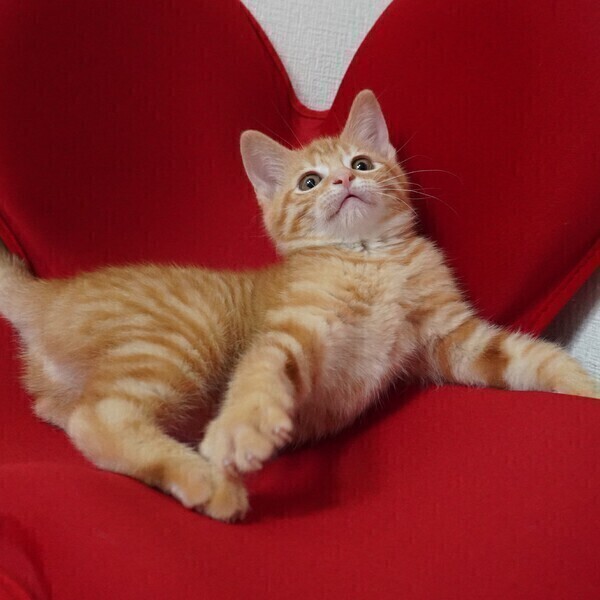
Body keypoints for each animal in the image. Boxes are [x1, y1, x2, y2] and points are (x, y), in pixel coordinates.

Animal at [0, 90, 597, 521]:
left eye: (362, 162)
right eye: (309, 181)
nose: (344, 179)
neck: (368, 258)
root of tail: (46, 293)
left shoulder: (455, 338)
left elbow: (534, 358)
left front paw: (584, 389)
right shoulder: (297, 328)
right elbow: (263, 370)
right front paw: (242, 426)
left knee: (70, 413)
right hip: (178, 339)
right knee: (99, 418)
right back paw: (207, 480)